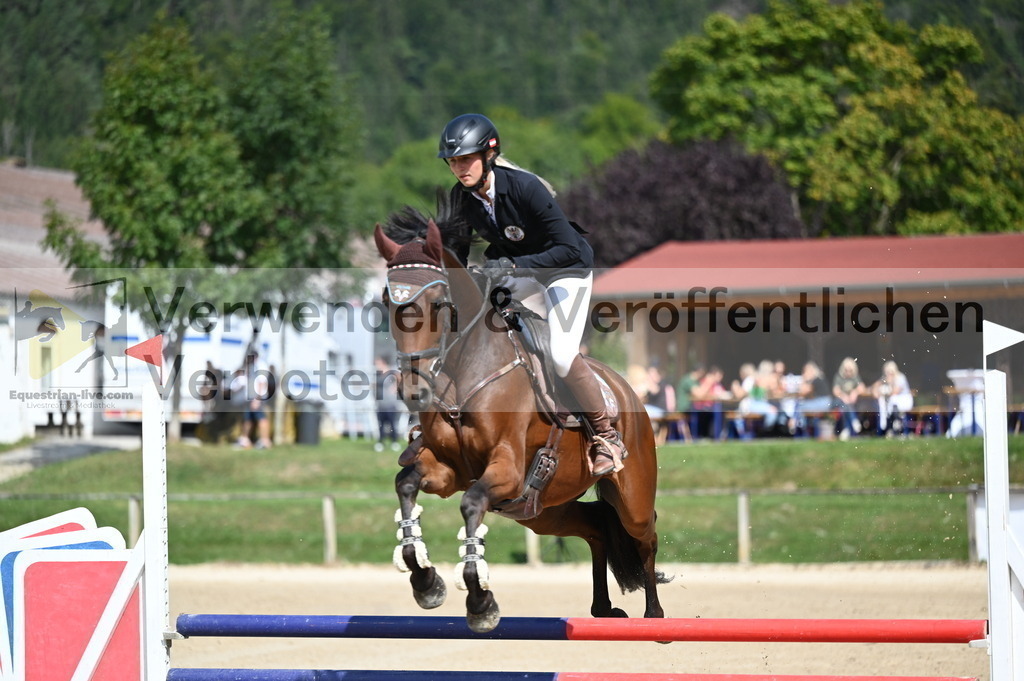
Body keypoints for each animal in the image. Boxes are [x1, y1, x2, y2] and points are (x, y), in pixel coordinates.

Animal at [374, 205, 663, 630]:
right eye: (386, 302)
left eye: (440, 302)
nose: (413, 390)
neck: (464, 370)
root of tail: (626, 389)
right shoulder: (446, 470)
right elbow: (406, 485)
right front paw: (426, 583)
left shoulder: (505, 470)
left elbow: (471, 505)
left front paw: (480, 602)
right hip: (541, 511)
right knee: (596, 526)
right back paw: (603, 607)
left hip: (631, 497)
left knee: (646, 535)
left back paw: (655, 616)